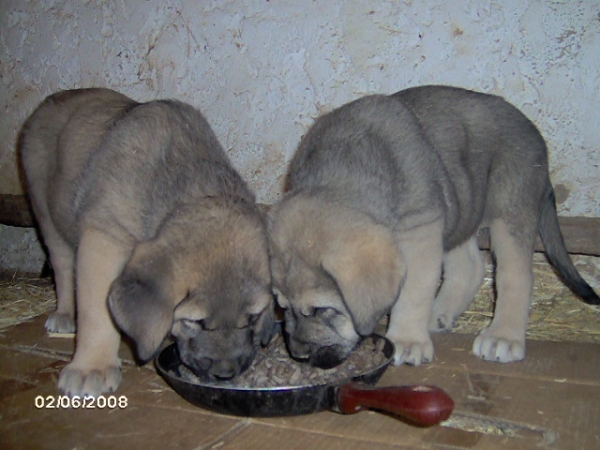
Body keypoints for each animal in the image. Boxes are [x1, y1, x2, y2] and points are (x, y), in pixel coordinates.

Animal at [20, 88, 274, 398]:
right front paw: (91, 367)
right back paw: (65, 314)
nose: (225, 374)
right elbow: (96, 312)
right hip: (44, 211)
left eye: (252, 318)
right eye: (195, 322)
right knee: (63, 266)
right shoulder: (103, 237)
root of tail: (48, 101)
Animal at [268, 85, 600, 370]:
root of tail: (533, 131)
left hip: (511, 207)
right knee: (470, 266)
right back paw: (439, 313)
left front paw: (406, 340)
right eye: (282, 306)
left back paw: (503, 335)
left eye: (322, 310)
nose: (298, 355)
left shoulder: (420, 229)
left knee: (514, 274)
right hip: (460, 208)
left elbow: (413, 291)